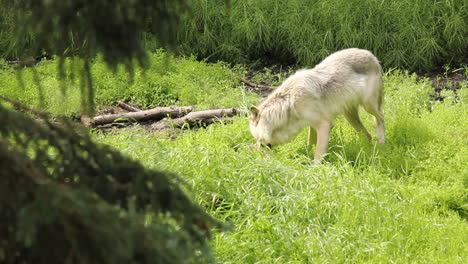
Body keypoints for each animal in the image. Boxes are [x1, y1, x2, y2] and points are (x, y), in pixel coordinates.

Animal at [249, 48, 384, 162]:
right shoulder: (312, 125)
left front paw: (314, 170)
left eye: (259, 140)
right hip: (349, 116)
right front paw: (303, 157)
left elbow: (318, 154)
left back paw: (382, 144)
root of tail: (371, 55)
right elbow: (310, 143)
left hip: (368, 106)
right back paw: (365, 149)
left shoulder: (324, 125)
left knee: (380, 118)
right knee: (368, 135)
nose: (255, 149)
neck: (288, 105)